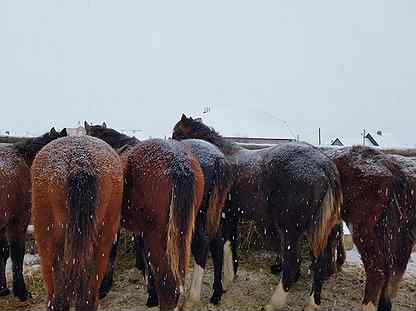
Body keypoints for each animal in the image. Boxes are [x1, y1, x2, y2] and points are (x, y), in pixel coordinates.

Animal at [173, 115, 344, 311]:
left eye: (177, 133)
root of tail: (325, 165)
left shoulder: (223, 216)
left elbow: (223, 244)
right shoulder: (231, 215)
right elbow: (230, 243)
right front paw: (228, 279)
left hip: (291, 230)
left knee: (293, 263)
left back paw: (273, 303)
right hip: (320, 230)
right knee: (321, 261)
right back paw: (312, 303)